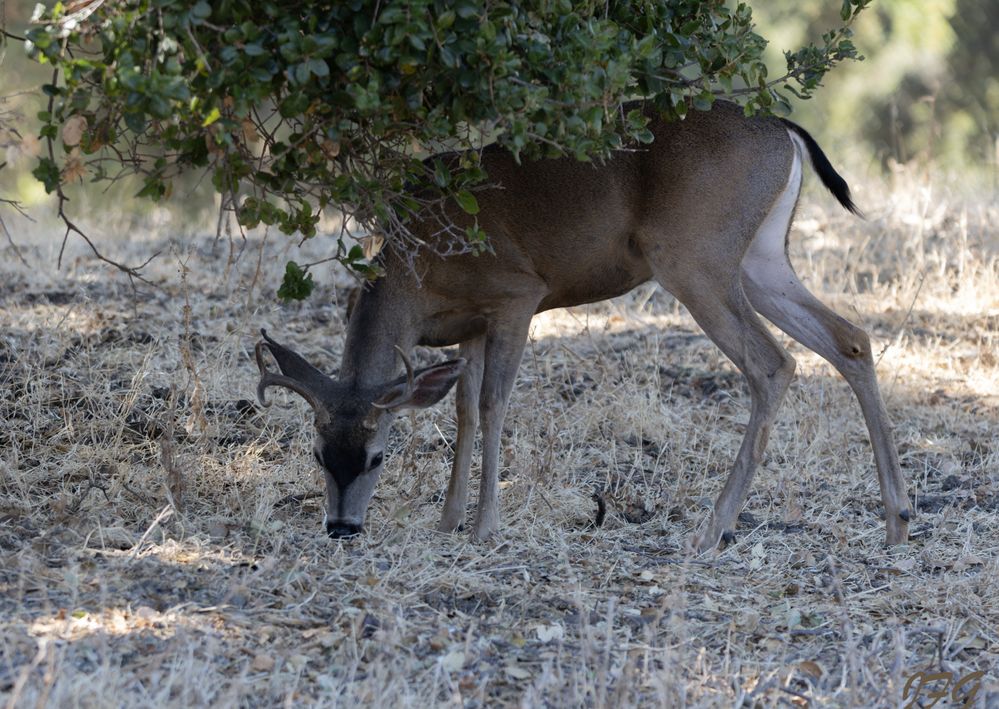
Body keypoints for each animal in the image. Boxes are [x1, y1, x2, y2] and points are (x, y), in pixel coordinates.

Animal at [254, 101, 912, 552]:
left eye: (375, 458)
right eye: (317, 453)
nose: (341, 527)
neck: (412, 272)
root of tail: (782, 126)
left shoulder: (517, 294)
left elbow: (493, 404)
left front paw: (485, 527)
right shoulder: (468, 324)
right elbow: (462, 409)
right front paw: (448, 520)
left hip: (694, 257)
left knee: (773, 364)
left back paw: (713, 528)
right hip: (761, 257)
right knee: (851, 340)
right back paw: (897, 519)